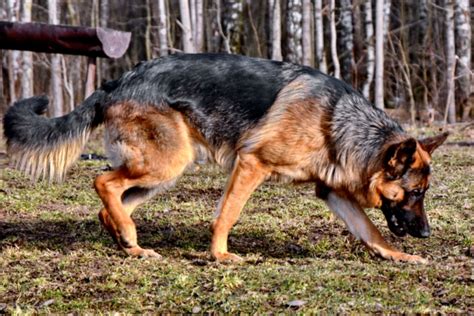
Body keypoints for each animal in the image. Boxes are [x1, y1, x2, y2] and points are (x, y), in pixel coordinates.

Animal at [3, 54, 448, 264]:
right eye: (416, 193)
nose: (427, 234)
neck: (337, 122)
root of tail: (118, 80)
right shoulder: (252, 164)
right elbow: (228, 214)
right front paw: (219, 255)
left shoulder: (332, 192)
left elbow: (371, 232)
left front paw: (401, 256)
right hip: (167, 162)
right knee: (103, 182)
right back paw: (129, 236)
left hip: (163, 172)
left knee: (110, 202)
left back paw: (129, 242)